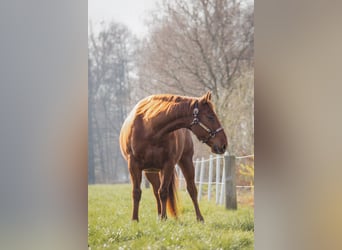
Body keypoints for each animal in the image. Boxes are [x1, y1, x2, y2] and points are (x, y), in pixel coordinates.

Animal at [119, 91, 228, 221]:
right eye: (210, 117)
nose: (224, 144)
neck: (149, 127)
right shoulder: (134, 165)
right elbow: (137, 192)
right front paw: (135, 219)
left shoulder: (168, 165)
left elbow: (163, 192)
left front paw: (163, 219)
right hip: (150, 171)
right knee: (155, 190)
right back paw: (159, 215)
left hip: (185, 162)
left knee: (191, 189)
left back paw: (199, 218)